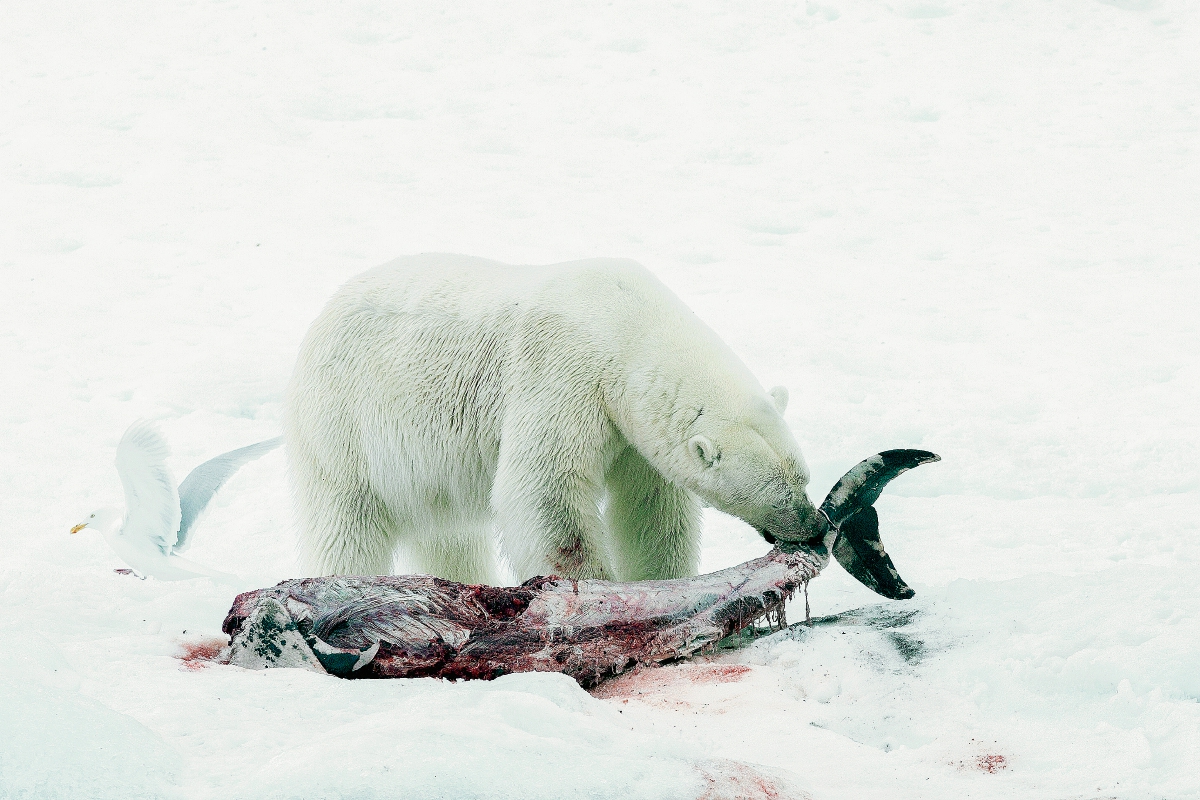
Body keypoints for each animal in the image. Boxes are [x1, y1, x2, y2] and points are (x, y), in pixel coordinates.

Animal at [285, 253, 823, 584]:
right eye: (775, 492)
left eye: (803, 478)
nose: (815, 525)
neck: (624, 322)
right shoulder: (563, 374)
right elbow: (545, 492)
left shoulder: (633, 428)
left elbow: (651, 507)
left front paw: (662, 581)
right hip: (346, 419)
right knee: (346, 523)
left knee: (449, 535)